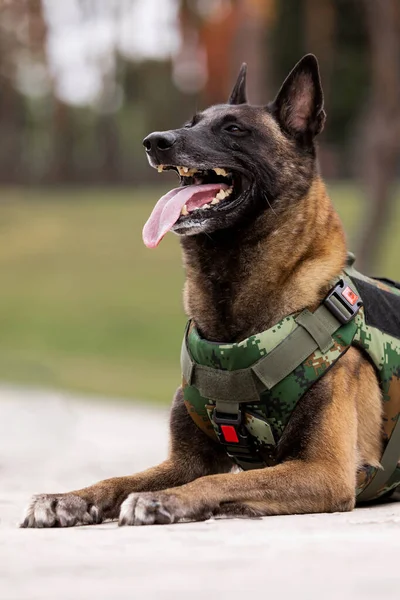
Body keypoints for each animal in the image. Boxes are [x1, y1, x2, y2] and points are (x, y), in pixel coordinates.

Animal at [21, 54, 400, 528]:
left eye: (234, 129)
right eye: (191, 122)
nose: (155, 142)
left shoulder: (325, 471)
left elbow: (219, 480)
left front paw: (165, 500)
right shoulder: (184, 461)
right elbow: (120, 480)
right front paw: (67, 498)